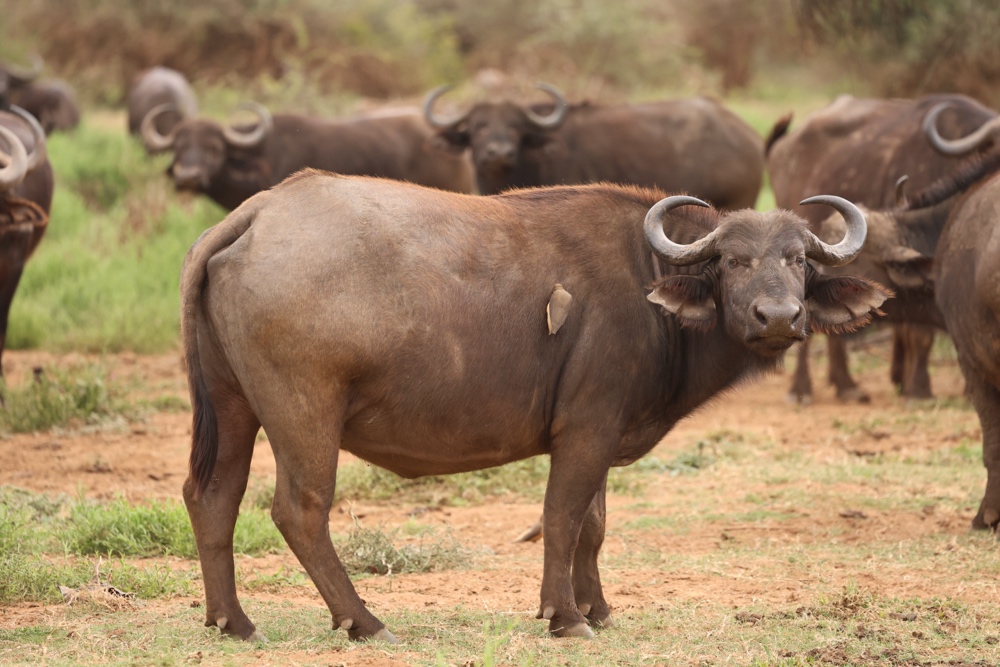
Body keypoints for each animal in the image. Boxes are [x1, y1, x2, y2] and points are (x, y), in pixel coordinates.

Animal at [180, 170, 888, 641]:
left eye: (797, 260)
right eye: (734, 261)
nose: (779, 317)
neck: (647, 278)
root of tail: (257, 213)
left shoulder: (603, 432)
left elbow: (594, 525)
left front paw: (598, 607)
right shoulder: (586, 429)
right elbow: (562, 518)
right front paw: (566, 616)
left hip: (232, 406)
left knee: (212, 496)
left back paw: (232, 622)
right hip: (305, 414)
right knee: (299, 510)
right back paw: (363, 620)